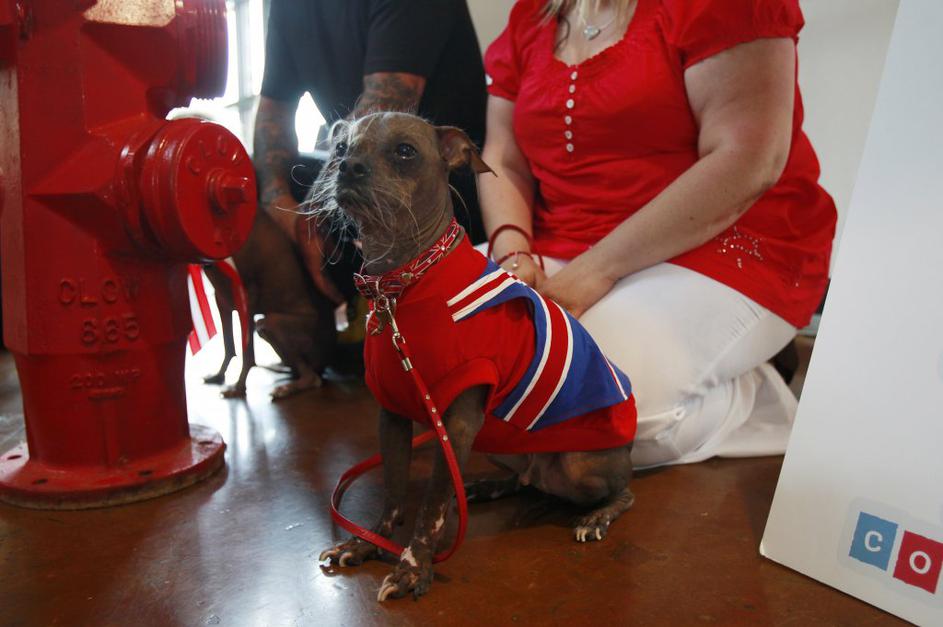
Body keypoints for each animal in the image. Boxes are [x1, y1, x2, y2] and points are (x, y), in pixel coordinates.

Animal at [203, 209, 337, 400]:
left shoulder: (246, 298)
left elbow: (247, 354)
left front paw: (239, 386)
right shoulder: (221, 300)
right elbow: (228, 345)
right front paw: (219, 375)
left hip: (271, 322)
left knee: (312, 378)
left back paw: (288, 387)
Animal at [314, 113, 637, 601]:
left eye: (405, 151)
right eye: (339, 148)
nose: (348, 167)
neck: (400, 287)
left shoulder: (458, 424)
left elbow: (430, 506)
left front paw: (413, 566)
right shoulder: (391, 415)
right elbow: (393, 490)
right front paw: (368, 540)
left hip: (581, 464)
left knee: (623, 491)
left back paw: (597, 515)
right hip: (503, 445)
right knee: (526, 482)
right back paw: (489, 486)